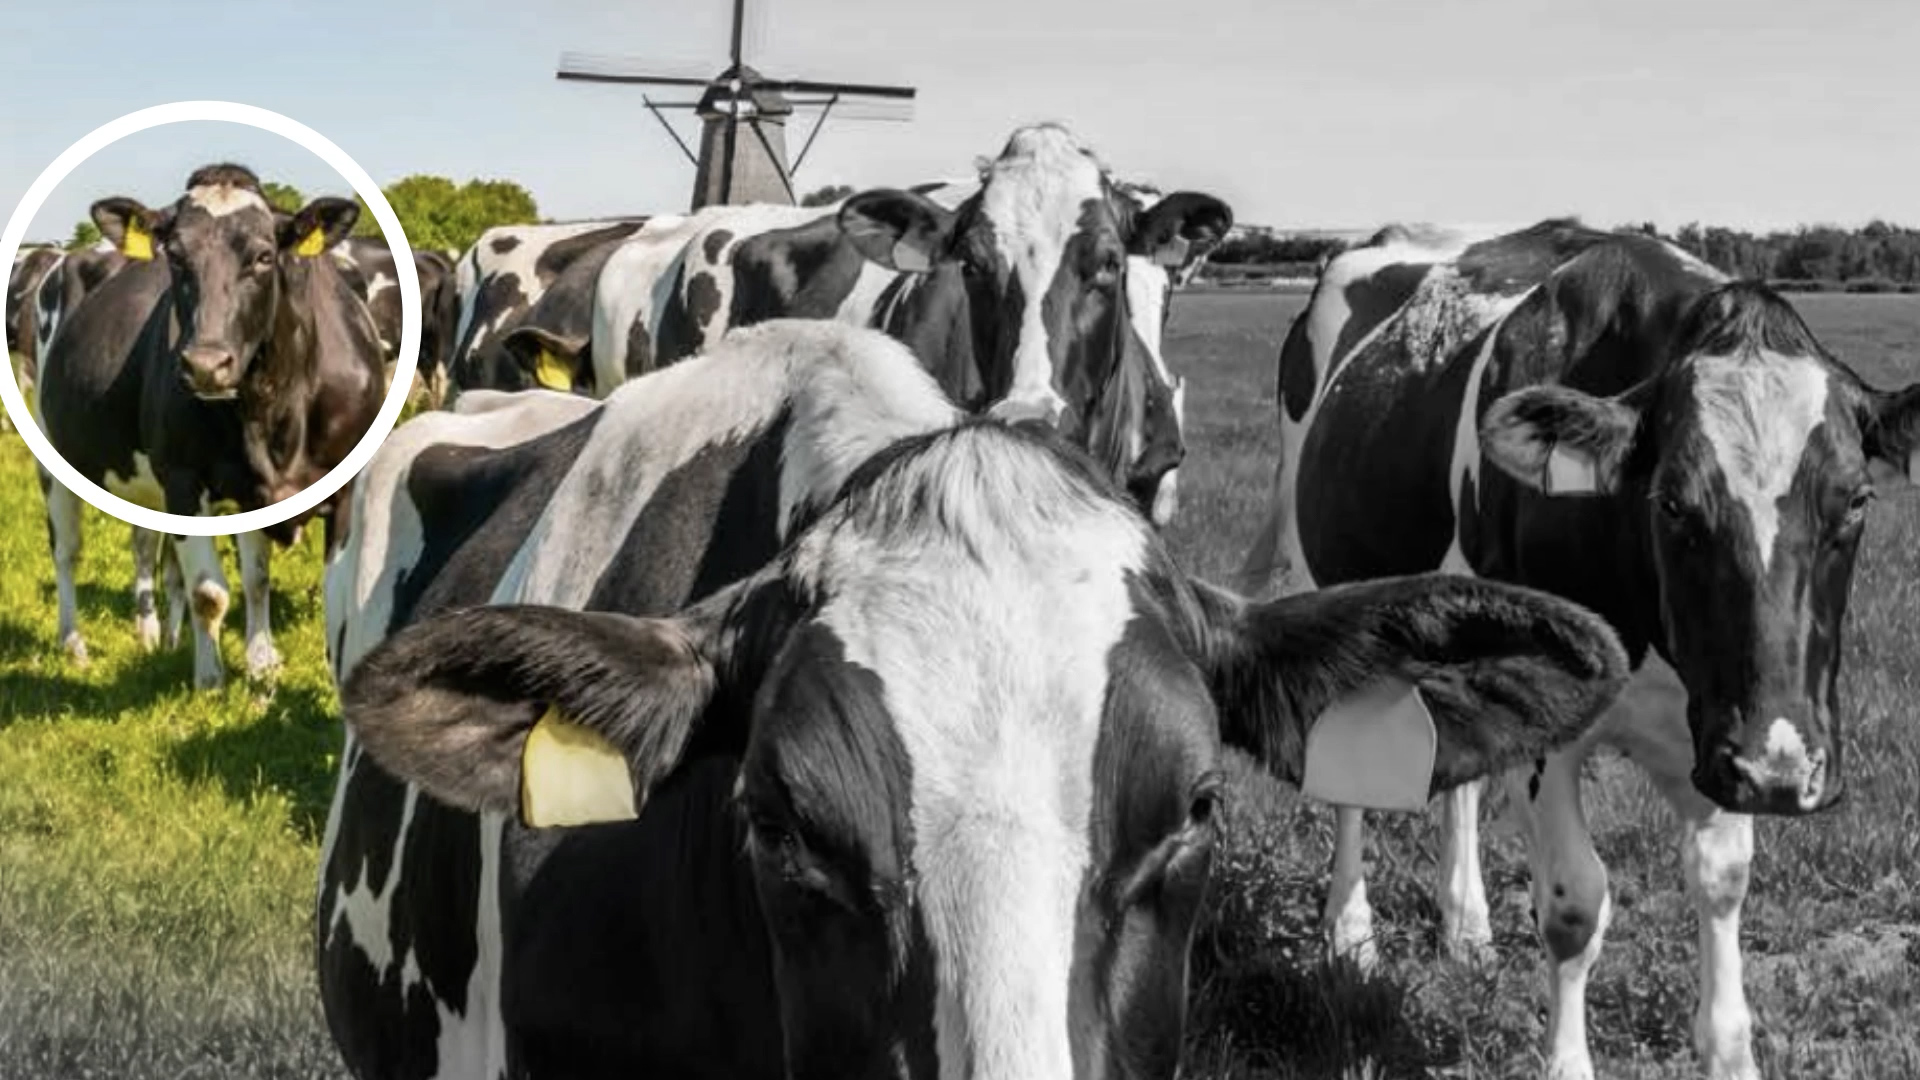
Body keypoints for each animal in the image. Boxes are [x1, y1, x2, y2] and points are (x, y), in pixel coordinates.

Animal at [34, 163, 386, 688]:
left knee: (148, 549)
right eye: (176, 258)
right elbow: (209, 591)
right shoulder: (183, 479)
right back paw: (74, 644)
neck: (273, 409)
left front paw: (269, 669)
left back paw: (159, 638)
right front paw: (210, 679)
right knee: (66, 550)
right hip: (55, 457)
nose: (205, 365)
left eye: (264, 256)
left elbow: (272, 582)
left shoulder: (339, 487)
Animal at [1239, 218, 1920, 1080]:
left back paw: (1466, 927)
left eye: (1858, 500)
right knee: (1348, 778)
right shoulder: (1565, 726)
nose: (1781, 772)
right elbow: (1574, 905)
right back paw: (1348, 934)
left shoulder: (1716, 724)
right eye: (1671, 502)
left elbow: (1723, 880)